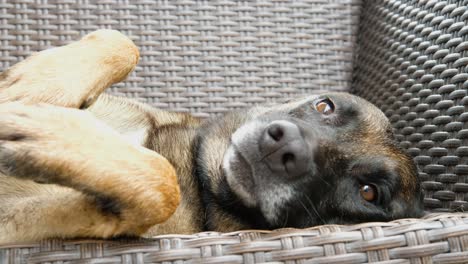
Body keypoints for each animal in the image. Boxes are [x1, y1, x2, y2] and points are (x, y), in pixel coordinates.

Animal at [0, 29, 424, 243]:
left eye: (368, 192)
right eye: (325, 106)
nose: (286, 147)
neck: (195, 168)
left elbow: (162, 184)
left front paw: (50, 135)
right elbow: (123, 41)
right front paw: (40, 83)